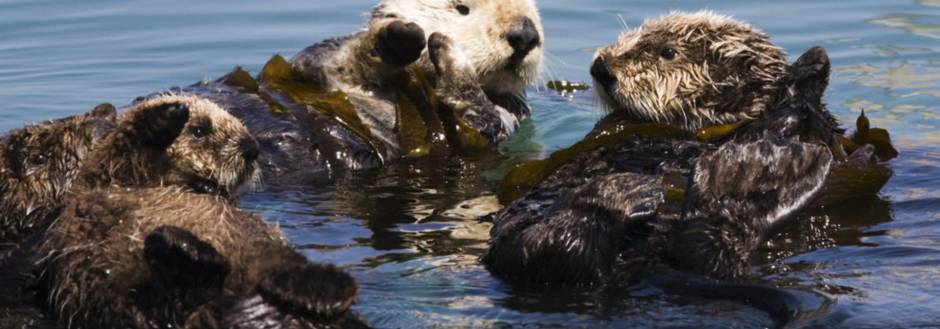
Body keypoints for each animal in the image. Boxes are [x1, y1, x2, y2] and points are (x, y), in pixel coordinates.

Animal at [170, 0, 548, 182]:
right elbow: (335, 59)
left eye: (534, 13)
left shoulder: (504, 116)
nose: (524, 34)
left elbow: (475, 118)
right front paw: (397, 38)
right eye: (461, 8)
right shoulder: (314, 65)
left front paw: (450, 56)